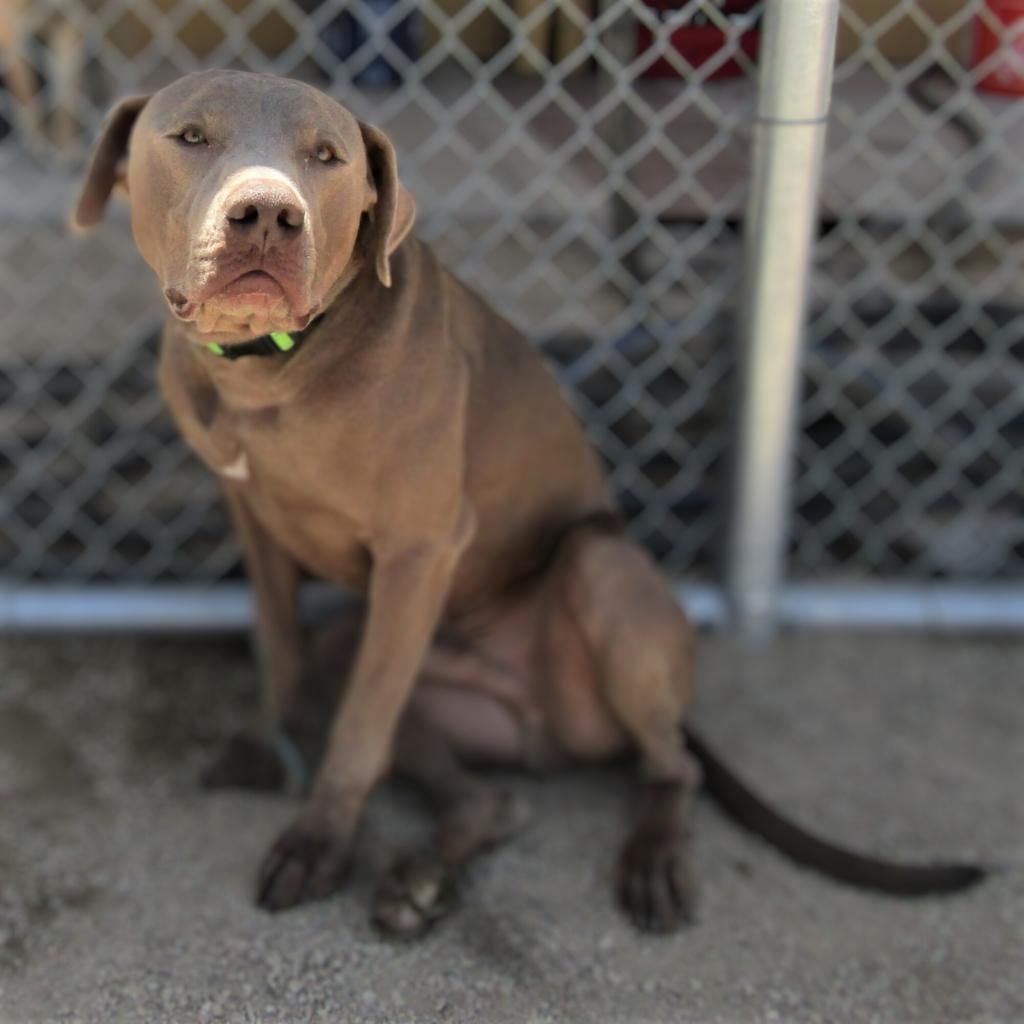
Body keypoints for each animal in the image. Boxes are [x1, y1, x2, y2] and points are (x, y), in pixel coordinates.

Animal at [72, 70, 983, 937]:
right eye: (191, 137)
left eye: (327, 156)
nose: (267, 213)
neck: (266, 368)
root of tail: (539, 720)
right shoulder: (255, 523)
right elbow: (282, 645)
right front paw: (269, 744)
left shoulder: (422, 547)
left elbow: (359, 727)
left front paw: (319, 840)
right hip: (392, 656)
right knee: (487, 798)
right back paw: (420, 883)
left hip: (600, 571)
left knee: (669, 761)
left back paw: (650, 857)